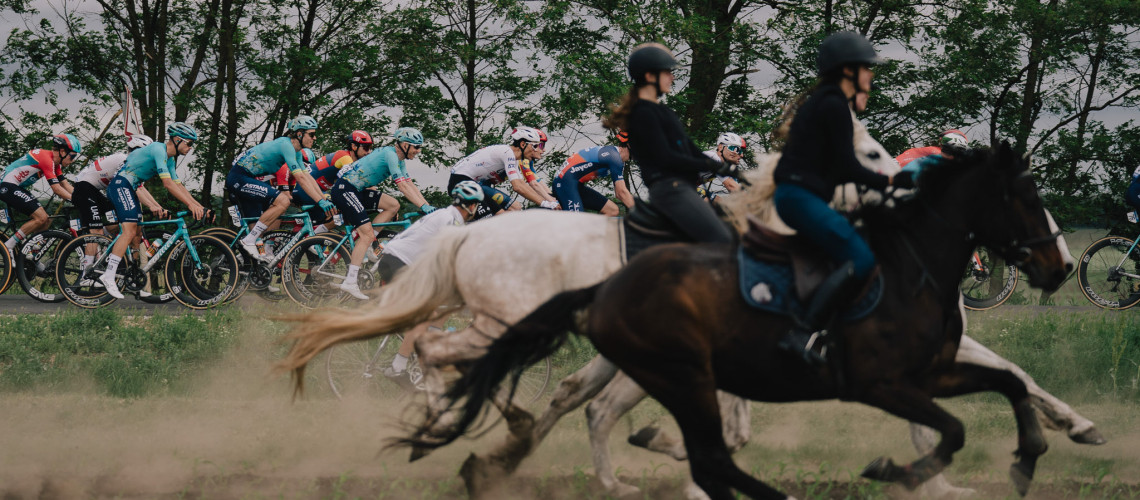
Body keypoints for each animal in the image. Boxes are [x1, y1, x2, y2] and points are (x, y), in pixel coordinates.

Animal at [271, 120, 1098, 496]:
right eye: (865, 151)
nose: (1056, 263)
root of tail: (470, 234)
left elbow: (1009, 375)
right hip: (502, 323)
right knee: (438, 354)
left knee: (494, 373)